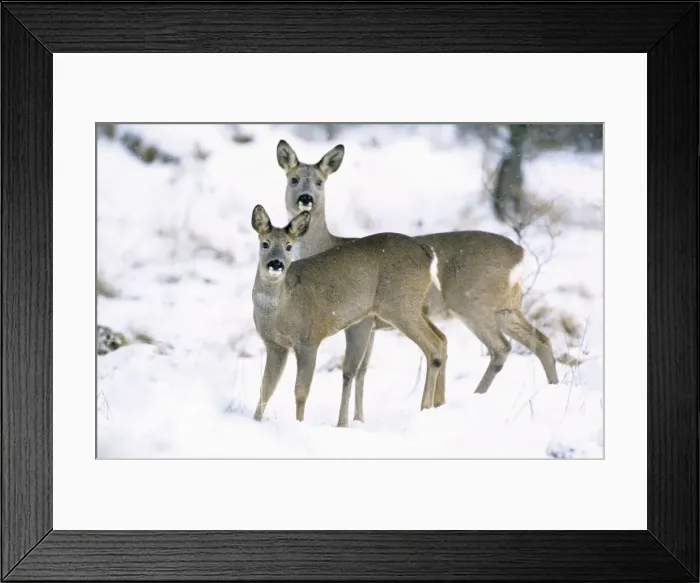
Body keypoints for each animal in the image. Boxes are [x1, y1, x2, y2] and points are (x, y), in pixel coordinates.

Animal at [250, 204, 447, 428]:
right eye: (265, 243)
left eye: (289, 246)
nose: (276, 264)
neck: (281, 308)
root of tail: (427, 252)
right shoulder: (275, 345)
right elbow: (265, 388)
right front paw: (255, 421)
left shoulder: (309, 340)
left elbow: (301, 392)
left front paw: (299, 423)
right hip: (408, 308)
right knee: (442, 338)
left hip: (400, 305)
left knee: (433, 345)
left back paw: (425, 407)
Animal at [276, 139, 560, 422]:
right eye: (293, 179)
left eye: (320, 182)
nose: (305, 198)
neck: (327, 245)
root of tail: (520, 254)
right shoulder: (373, 326)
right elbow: (364, 371)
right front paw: (359, 419)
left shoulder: (361, 320)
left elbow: (350, 370)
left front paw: (346, 423)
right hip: (506, 306)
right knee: (540, 341)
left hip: (469, 303)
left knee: (498, 347)